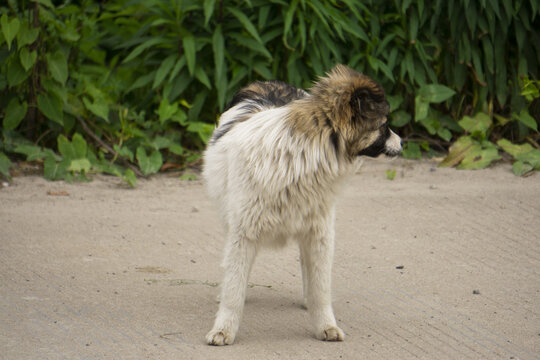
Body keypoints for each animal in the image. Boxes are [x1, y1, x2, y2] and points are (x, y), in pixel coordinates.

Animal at [202, 64, 400, 346]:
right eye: (384, 125)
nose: (402, 142)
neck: (301, 156)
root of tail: (269, 82)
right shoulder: (244, 233)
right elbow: (234, 288)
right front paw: (223, 329)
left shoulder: (319, 233)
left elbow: (320, 286)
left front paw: (326, 325)